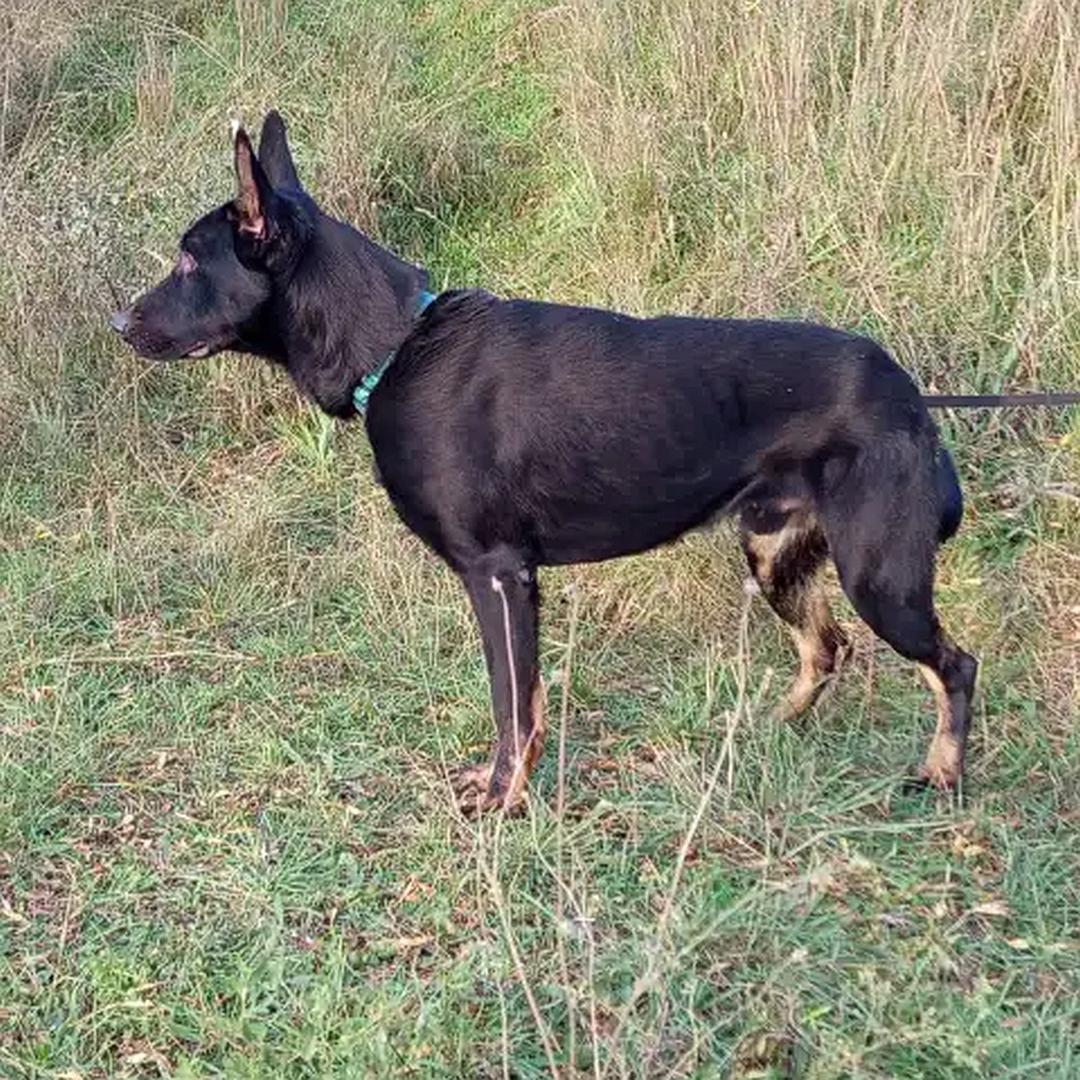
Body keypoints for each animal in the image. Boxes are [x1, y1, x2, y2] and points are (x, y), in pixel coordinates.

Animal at [111, 116, 980, 812]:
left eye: (189, 263)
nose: (119, 324)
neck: (394, 349)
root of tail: (910, 396)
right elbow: (519, 703)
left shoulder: (498, 575)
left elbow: (514, 706)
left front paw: (503, 796)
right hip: (775, 555)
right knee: (828, 648)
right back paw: (769, 730)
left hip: (879, 578)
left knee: (954, 665)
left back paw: (942, 773)